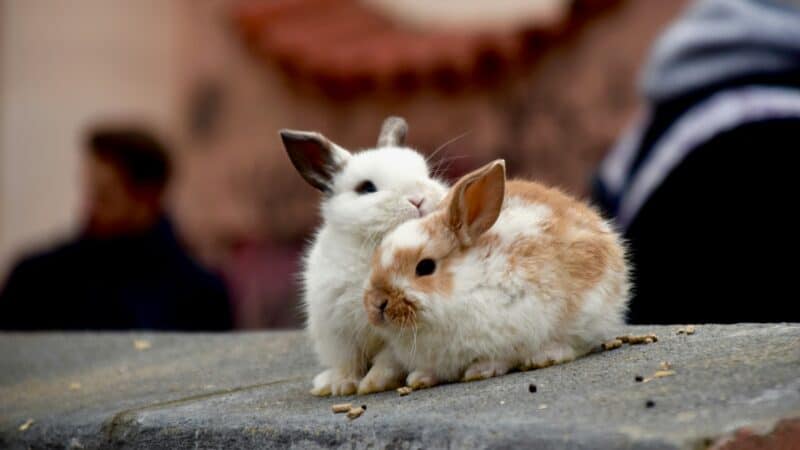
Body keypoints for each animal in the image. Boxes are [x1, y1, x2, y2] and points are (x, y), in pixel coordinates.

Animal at [280, 117, 449, 396]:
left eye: (426, 174)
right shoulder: (338, 333)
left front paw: (373, 384)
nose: (418, 199)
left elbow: (387, 360)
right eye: (367, 188)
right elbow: (348, 362)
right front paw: (341, 386)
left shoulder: (394, 335)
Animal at [363, 159, 629, 389]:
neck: (467, 283)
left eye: (425, 267)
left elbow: (500, 357)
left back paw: (544, 356)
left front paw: (480, 370)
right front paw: (419, 378)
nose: (377, 303)